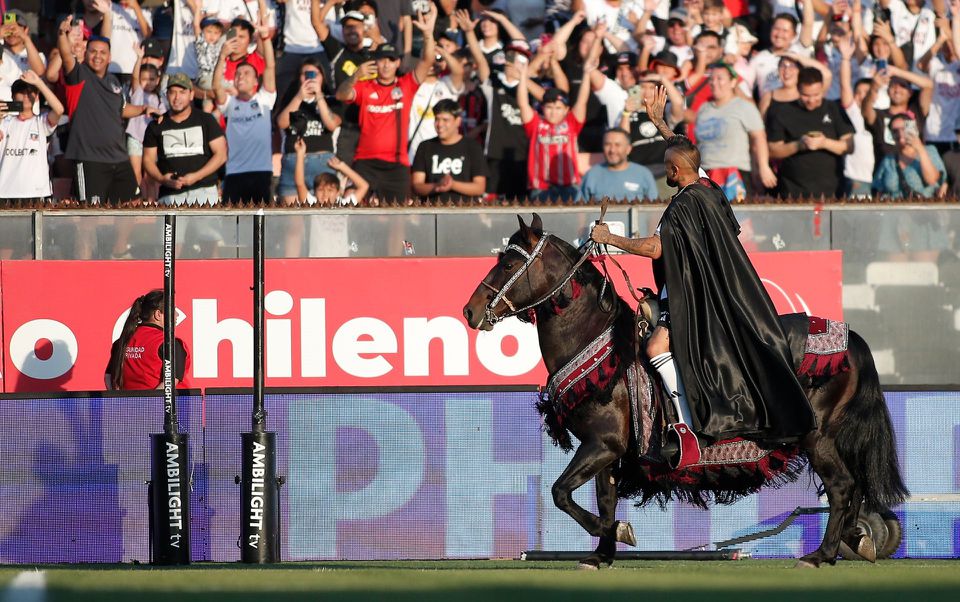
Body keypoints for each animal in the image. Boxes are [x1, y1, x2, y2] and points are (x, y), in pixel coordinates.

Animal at [464, 214, 908, 568]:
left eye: (509, 261)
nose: (471, 310)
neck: (595, 339)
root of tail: (851, 339)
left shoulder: (602, 443)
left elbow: (560, 493)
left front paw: (618, 532)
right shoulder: (605, 448)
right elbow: (602, 499)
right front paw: (602, 552)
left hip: (818, 436)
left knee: (842, 487)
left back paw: (821, 554)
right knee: (852, 486)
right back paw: (856, 538)